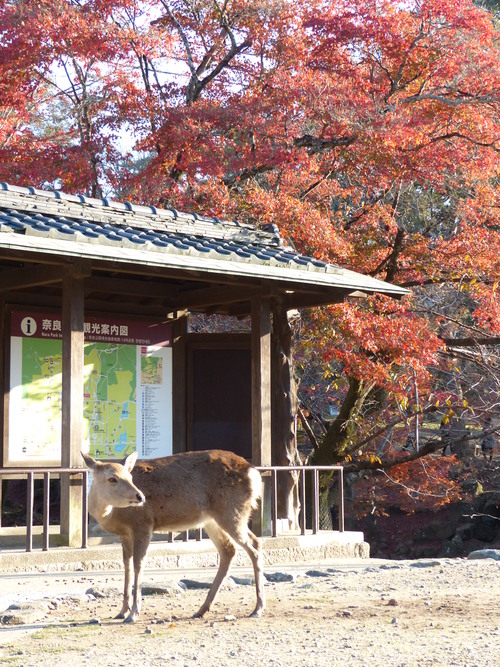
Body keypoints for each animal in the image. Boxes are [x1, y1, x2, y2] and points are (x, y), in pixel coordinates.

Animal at [81, 452, 266, 624]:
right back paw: (202, 609)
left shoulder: (143, 524)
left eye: (130, 477)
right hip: (213, 520)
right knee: (229, 549)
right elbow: (126, 566)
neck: (111, 515)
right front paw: (121, 612)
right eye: (112, 478)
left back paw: (258, 608)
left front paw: (133, 614)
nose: (140, 497)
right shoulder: (124, 534)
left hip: (232, 512)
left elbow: (138, 564)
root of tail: (254, 472)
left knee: (254, 545)